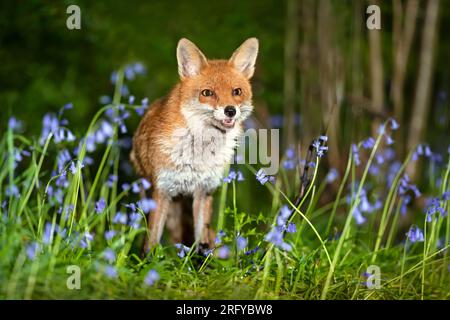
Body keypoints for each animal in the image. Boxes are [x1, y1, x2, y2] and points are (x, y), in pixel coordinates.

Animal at [130, 37, 258, 252]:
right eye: (207, 93)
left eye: (237, 91)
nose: (230, 110)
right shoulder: (161, 191)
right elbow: (151, 243)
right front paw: (148, 260)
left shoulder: (204, 191)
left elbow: (201, 242)